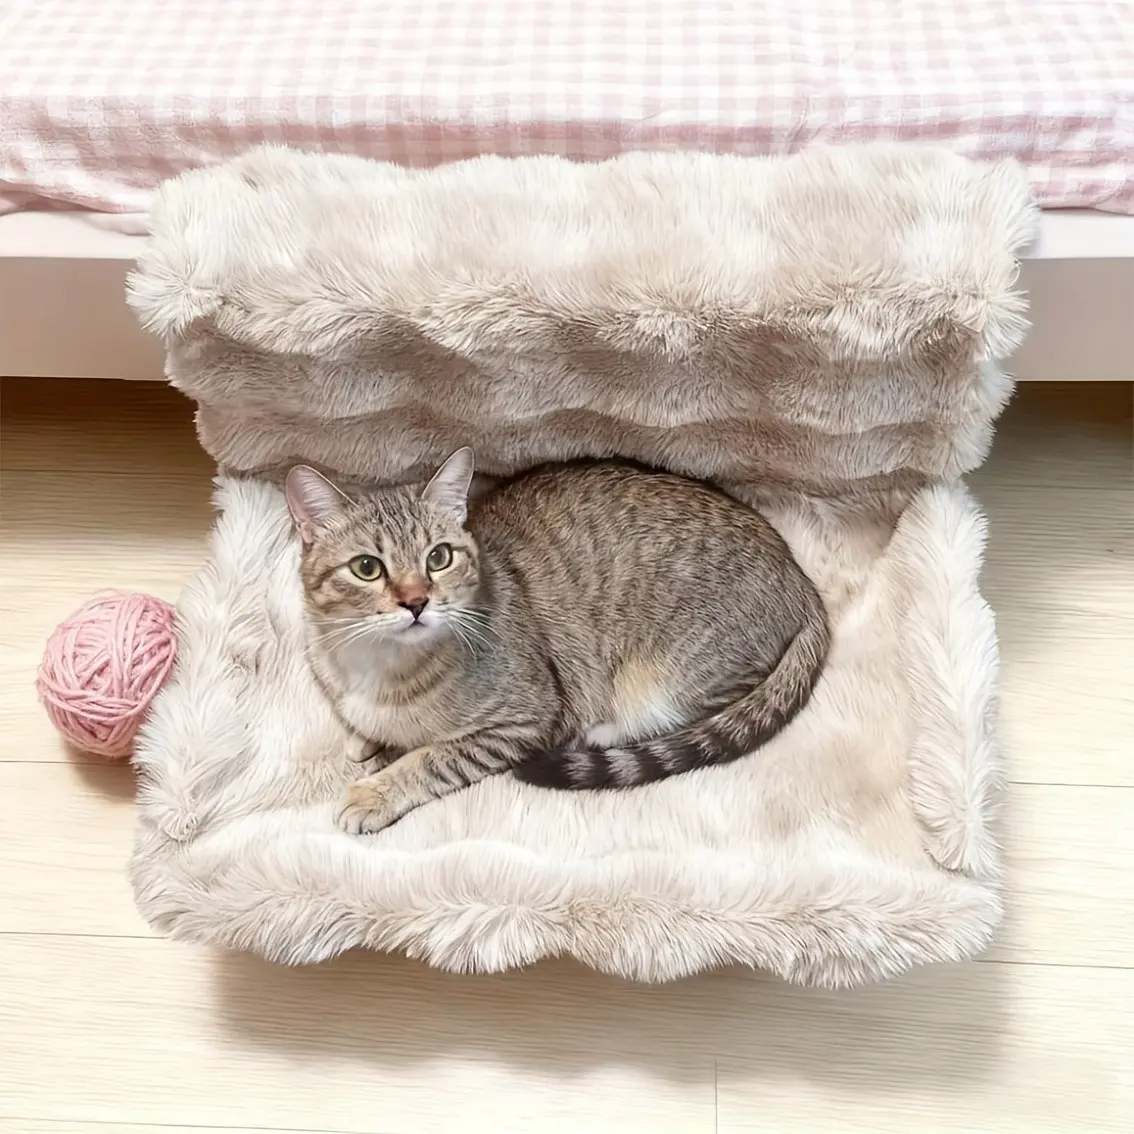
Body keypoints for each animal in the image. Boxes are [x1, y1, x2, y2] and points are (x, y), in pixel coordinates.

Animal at [285, 449, 830, 834]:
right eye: (366, 567)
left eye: (438, 558)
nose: (416, 601)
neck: (380, 666)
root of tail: (802, 578)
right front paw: (365, 738)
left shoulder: (523, 719)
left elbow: (432, 758)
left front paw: (374, 792)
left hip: (671, 676)